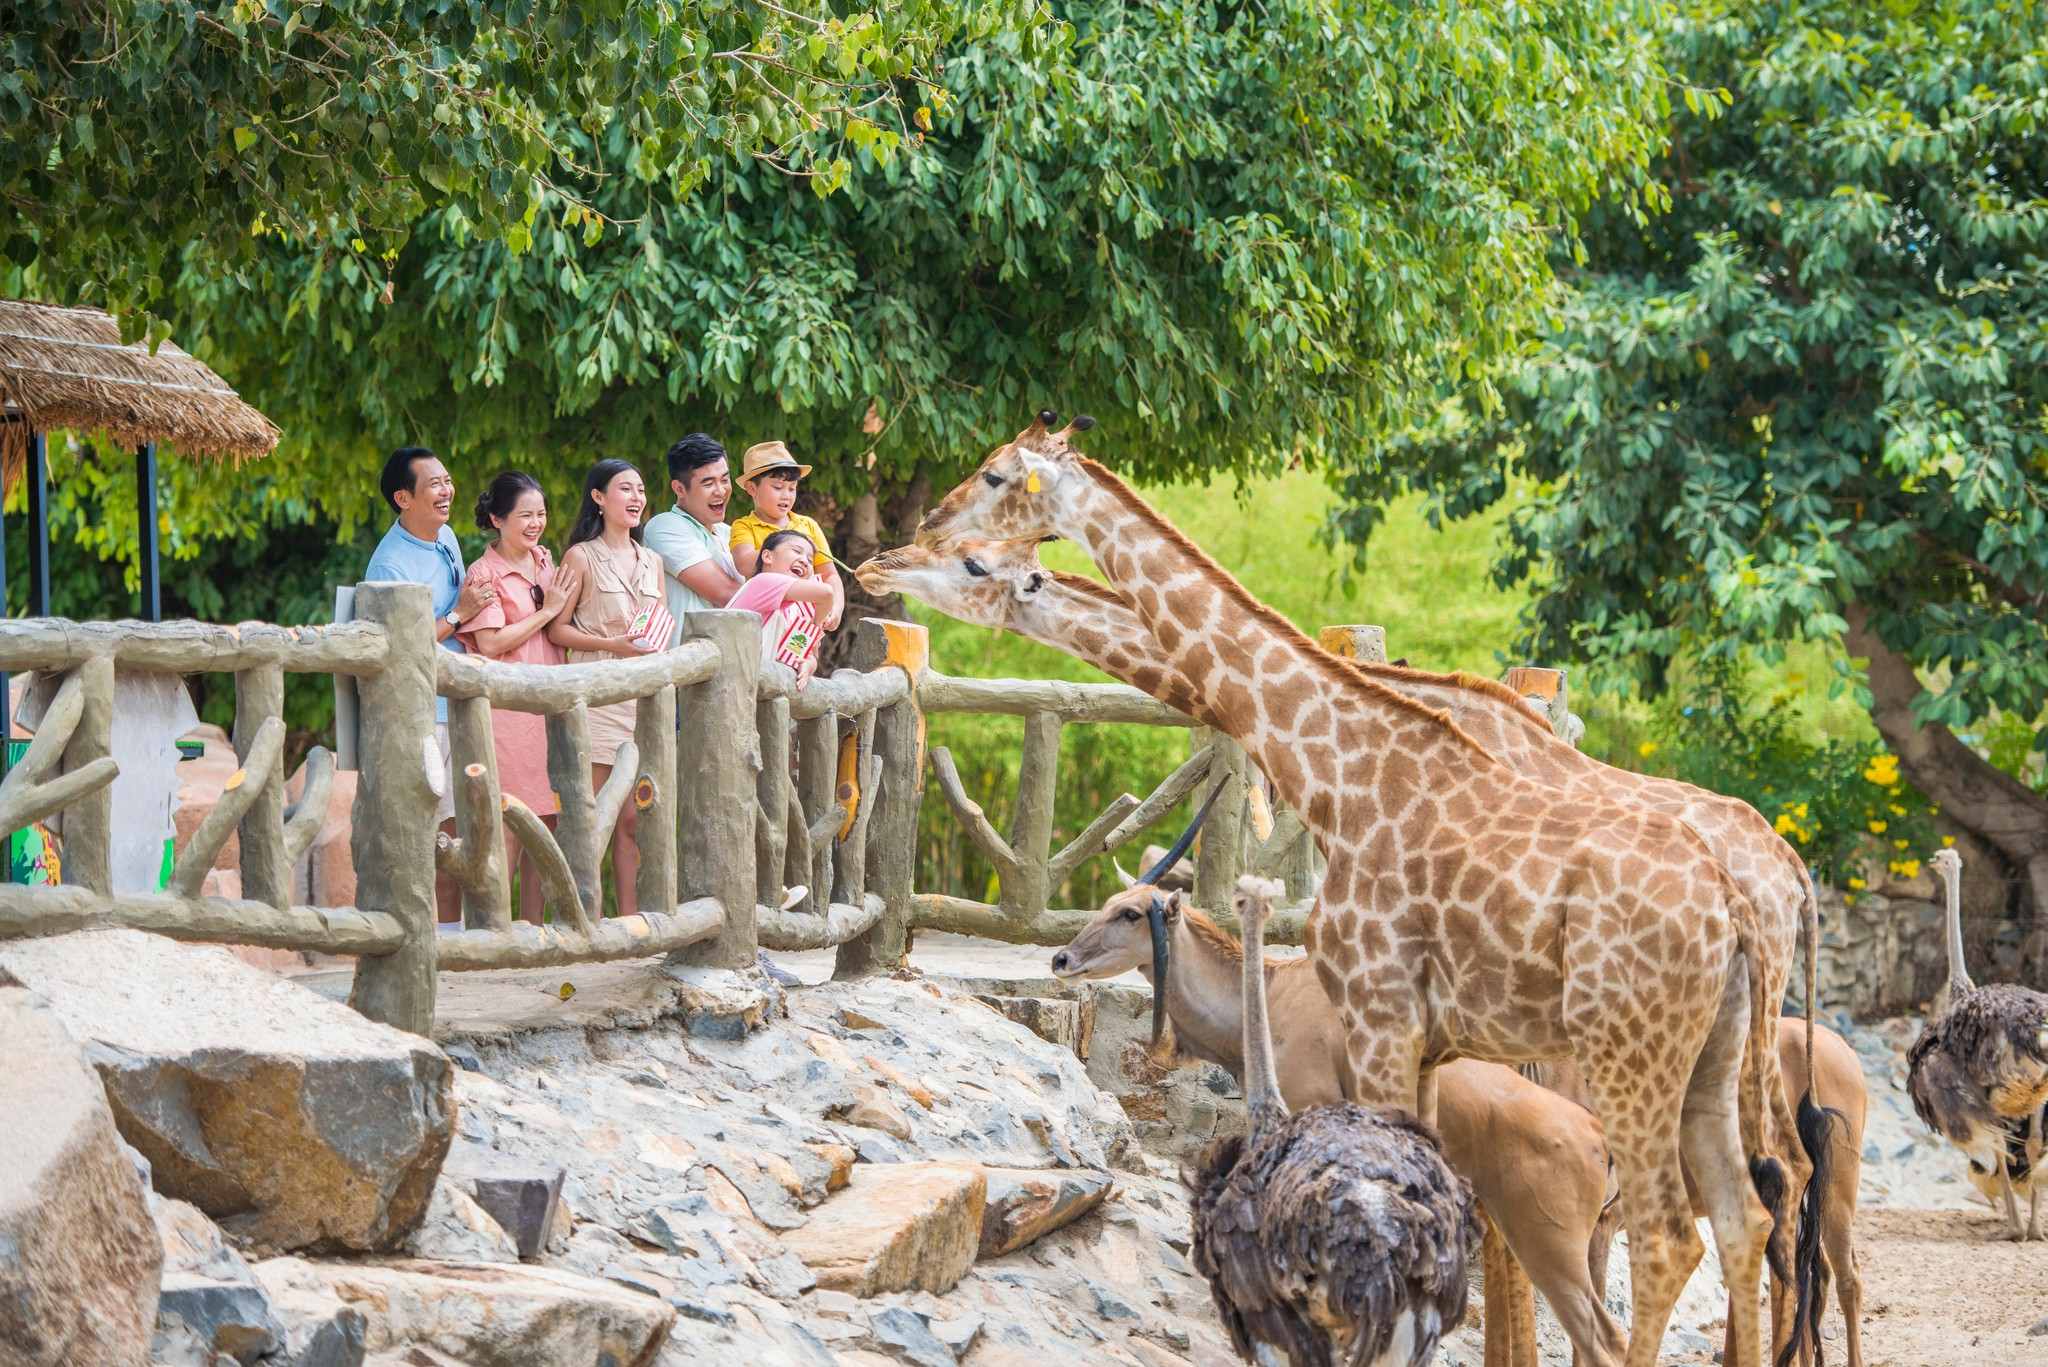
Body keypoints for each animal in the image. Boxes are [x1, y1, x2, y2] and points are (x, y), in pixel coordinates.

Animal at [917, 413, 1794, 1367]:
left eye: (993, 484)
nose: (911, 537)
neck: (1345, 770)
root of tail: (1757, 896)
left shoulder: (1384, 1016)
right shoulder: (1434, 1041)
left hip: (1627, 1051)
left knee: (1673, 1231)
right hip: (1714, 1053)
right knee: (1750, 1211)